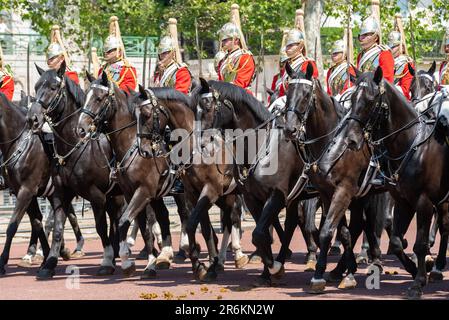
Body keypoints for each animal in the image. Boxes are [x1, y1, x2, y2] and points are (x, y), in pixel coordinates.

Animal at [128, 84, 250, 280]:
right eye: (134, 116)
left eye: (146, 114)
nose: (143, 151)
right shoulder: (194, 194)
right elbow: (203, 227)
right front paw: (202, 264)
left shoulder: (209, 190)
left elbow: (192, 223)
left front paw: (203, 262)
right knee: (229, 219)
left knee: (234, 216)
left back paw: (238, 255)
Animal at [326, 66, 448, 298]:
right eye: (352, 98)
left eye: (371, 99)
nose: (351, 140)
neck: (412, 145)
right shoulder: (403, 201)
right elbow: (397, 241)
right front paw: (416, 270)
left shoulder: (424, 202)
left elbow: (419, 244)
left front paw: (418, 282)